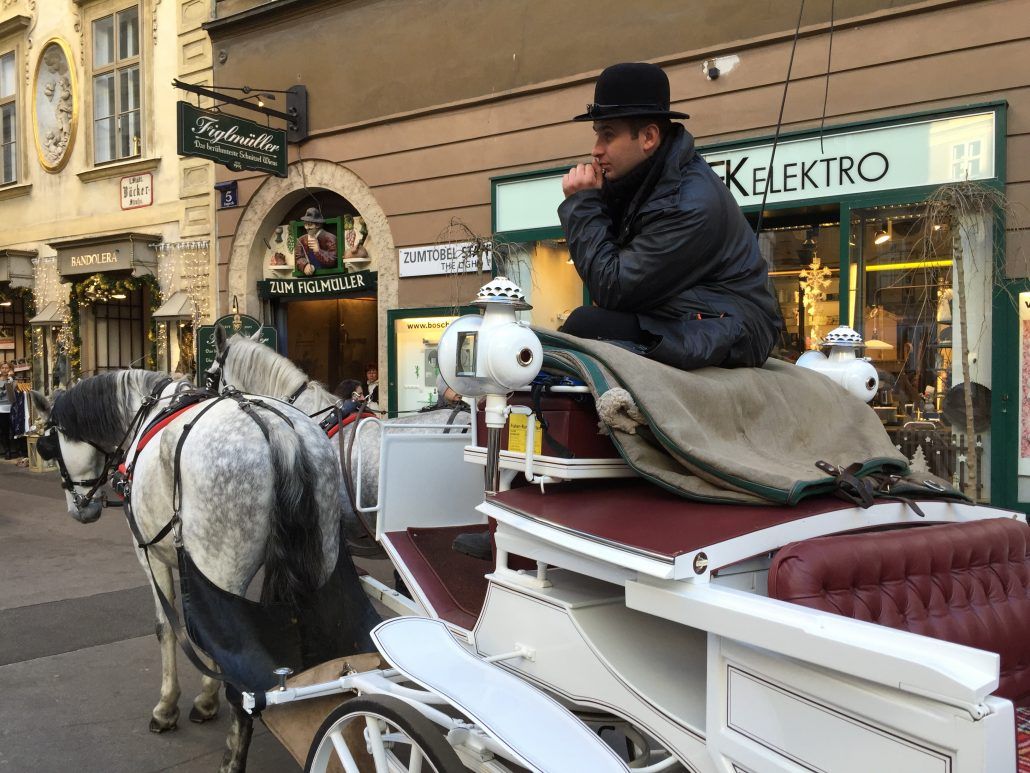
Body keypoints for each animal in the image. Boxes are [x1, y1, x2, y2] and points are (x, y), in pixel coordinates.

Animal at [31, 370, 378, 773]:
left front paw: (168, 707)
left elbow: (167, 628)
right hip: (320, 557)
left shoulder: (149, 554)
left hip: (221, 565)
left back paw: (233, 756)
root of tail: (277, 430)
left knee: (240, 667)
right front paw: (206, 701)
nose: (80, 509)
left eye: (48, 446)